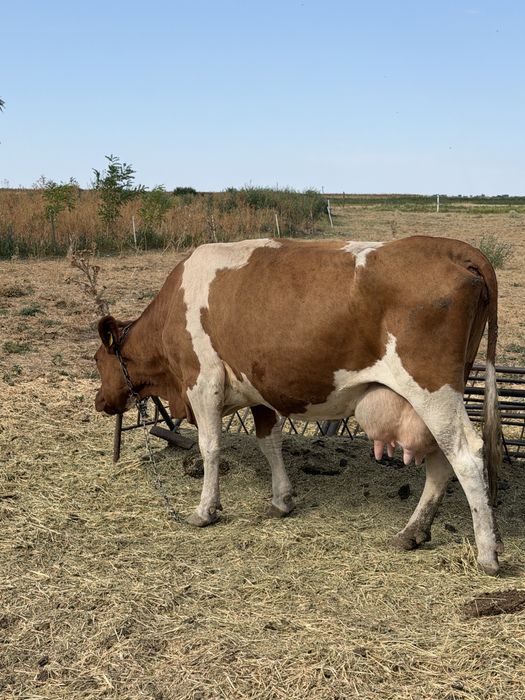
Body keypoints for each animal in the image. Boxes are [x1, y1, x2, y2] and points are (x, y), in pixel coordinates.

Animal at [94, 236, 502, 574]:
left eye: (98, 360)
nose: (99, 401)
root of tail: (451, 247)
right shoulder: (258, 387)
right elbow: (269, 442)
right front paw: (282, 499)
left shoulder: (203, 380)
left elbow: (210, 447)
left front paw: (205, 510)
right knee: (440, 460)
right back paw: (413, 531)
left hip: (433, 390)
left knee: (465, 455)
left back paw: (487, 555)